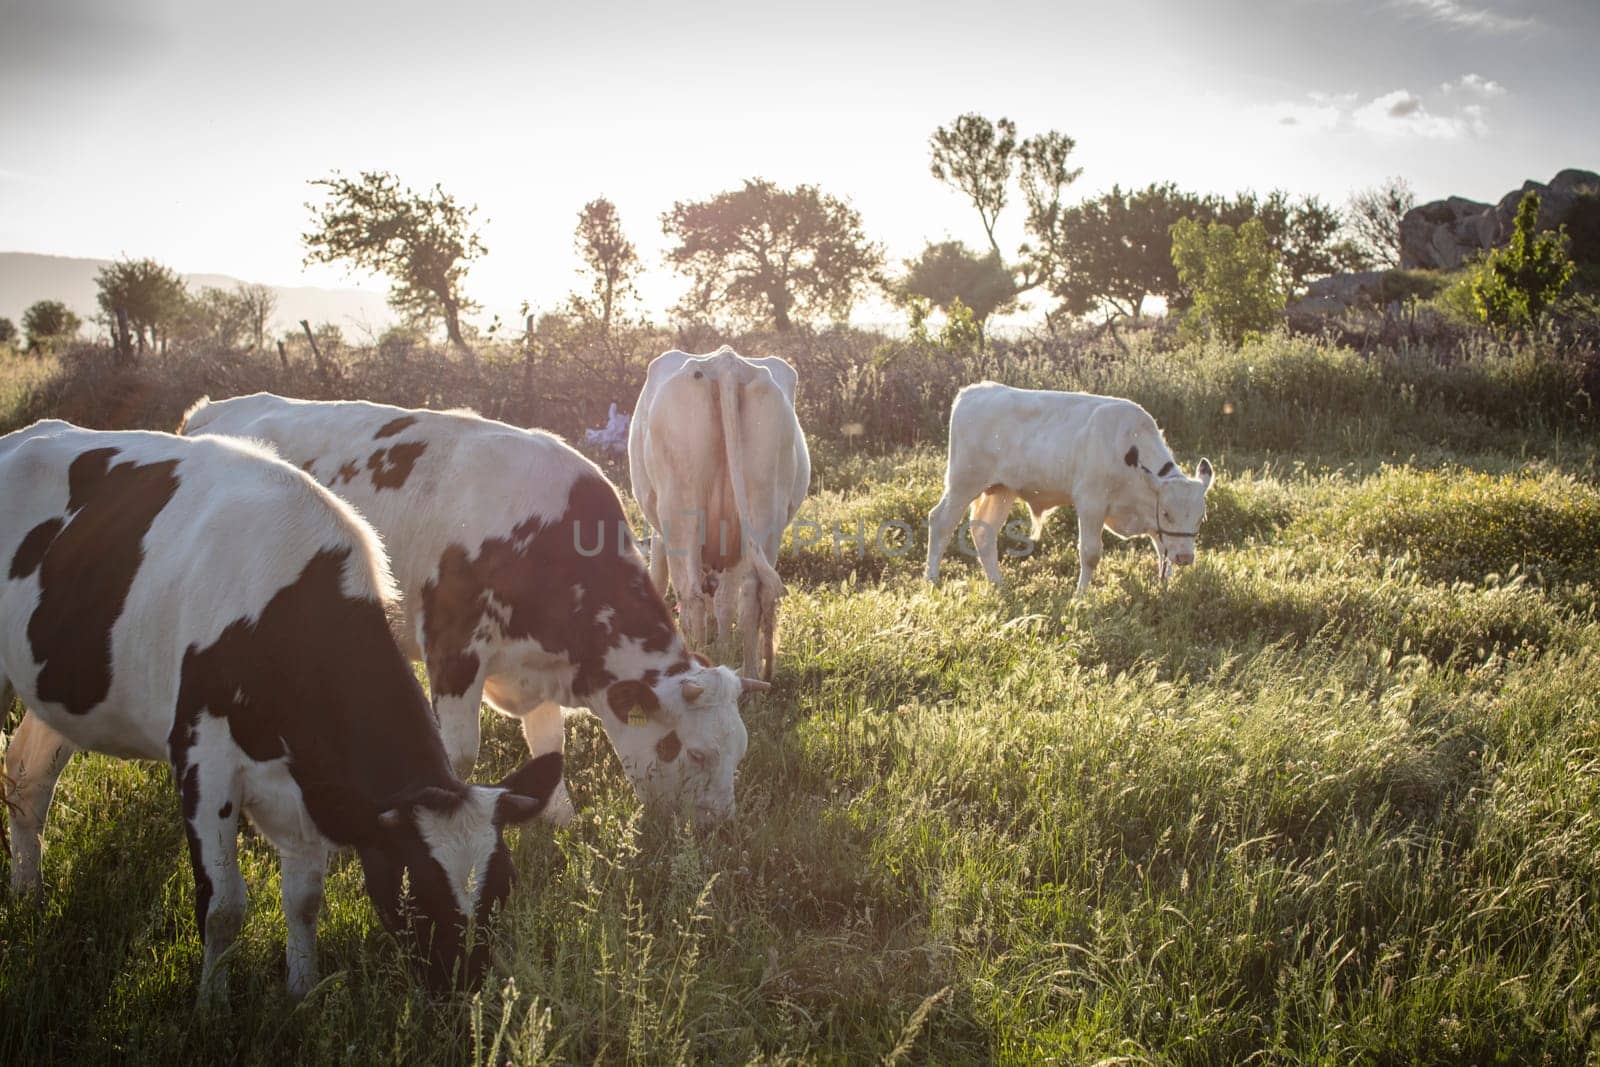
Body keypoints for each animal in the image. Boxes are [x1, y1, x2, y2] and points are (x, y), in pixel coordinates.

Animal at [0, 422, 563, 1004]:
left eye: (504, 886)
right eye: (414, 890)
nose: (462, 993)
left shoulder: (309, 782)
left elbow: (305, 899)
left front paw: (302, 992)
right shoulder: (203, 761)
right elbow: (223, 906)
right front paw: (212, 1006)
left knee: (26, 776)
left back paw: (28, 894)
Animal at [181, 391, 768, 825]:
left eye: (740, 753)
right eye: (696, 752)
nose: (718, 828)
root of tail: (209, 412)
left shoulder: (539, 666)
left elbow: (548, 745)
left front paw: (558, 819)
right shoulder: (453, 648)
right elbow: (460, 753)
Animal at [627, 350, 812, 684]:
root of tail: (726, 363)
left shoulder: (660, 536)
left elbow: (661, 581)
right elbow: (726, 601)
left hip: (680, 509)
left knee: (691, 595)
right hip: (763, 510)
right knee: (751, 595)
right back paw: (753, 673)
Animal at [928, 382, 1209, 591]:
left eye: (1200, 518)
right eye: (1167, 513)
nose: (1186, 558)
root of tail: (974, 391)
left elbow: (1163, 551)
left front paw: (1164, 589)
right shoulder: (1091, 503)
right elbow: (1090, 553)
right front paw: (1080, 596)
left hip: (1001, 490)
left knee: (984, 532)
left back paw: (998, 584)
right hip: (963, 482)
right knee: (941, 522)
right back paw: (932, 579)